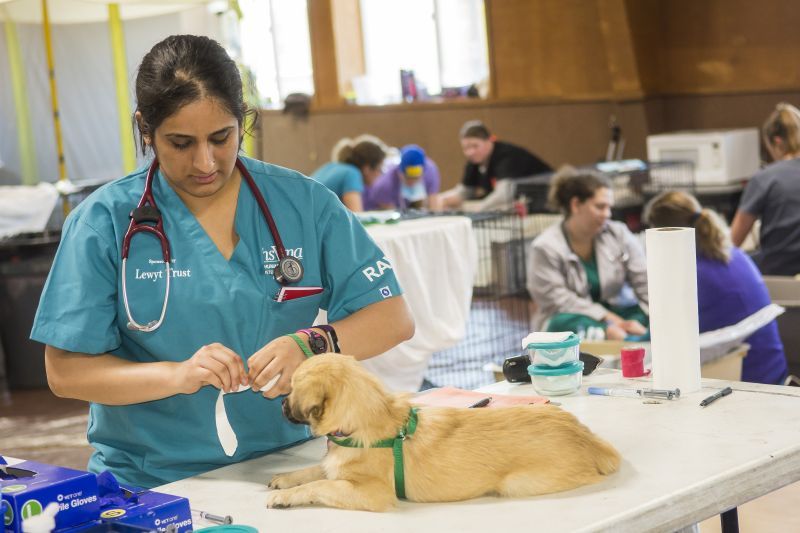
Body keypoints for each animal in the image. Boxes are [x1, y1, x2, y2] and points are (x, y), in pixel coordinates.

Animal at [266, 352, 620, 510]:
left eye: (291, 388)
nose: (279, 404)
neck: (367, 418)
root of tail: (589, 439)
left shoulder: (370, 494)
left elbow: (321, 485)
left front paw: (285, 496)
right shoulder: (333, 467)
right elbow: (315, 471)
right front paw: (284, 480)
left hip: (517, 484)